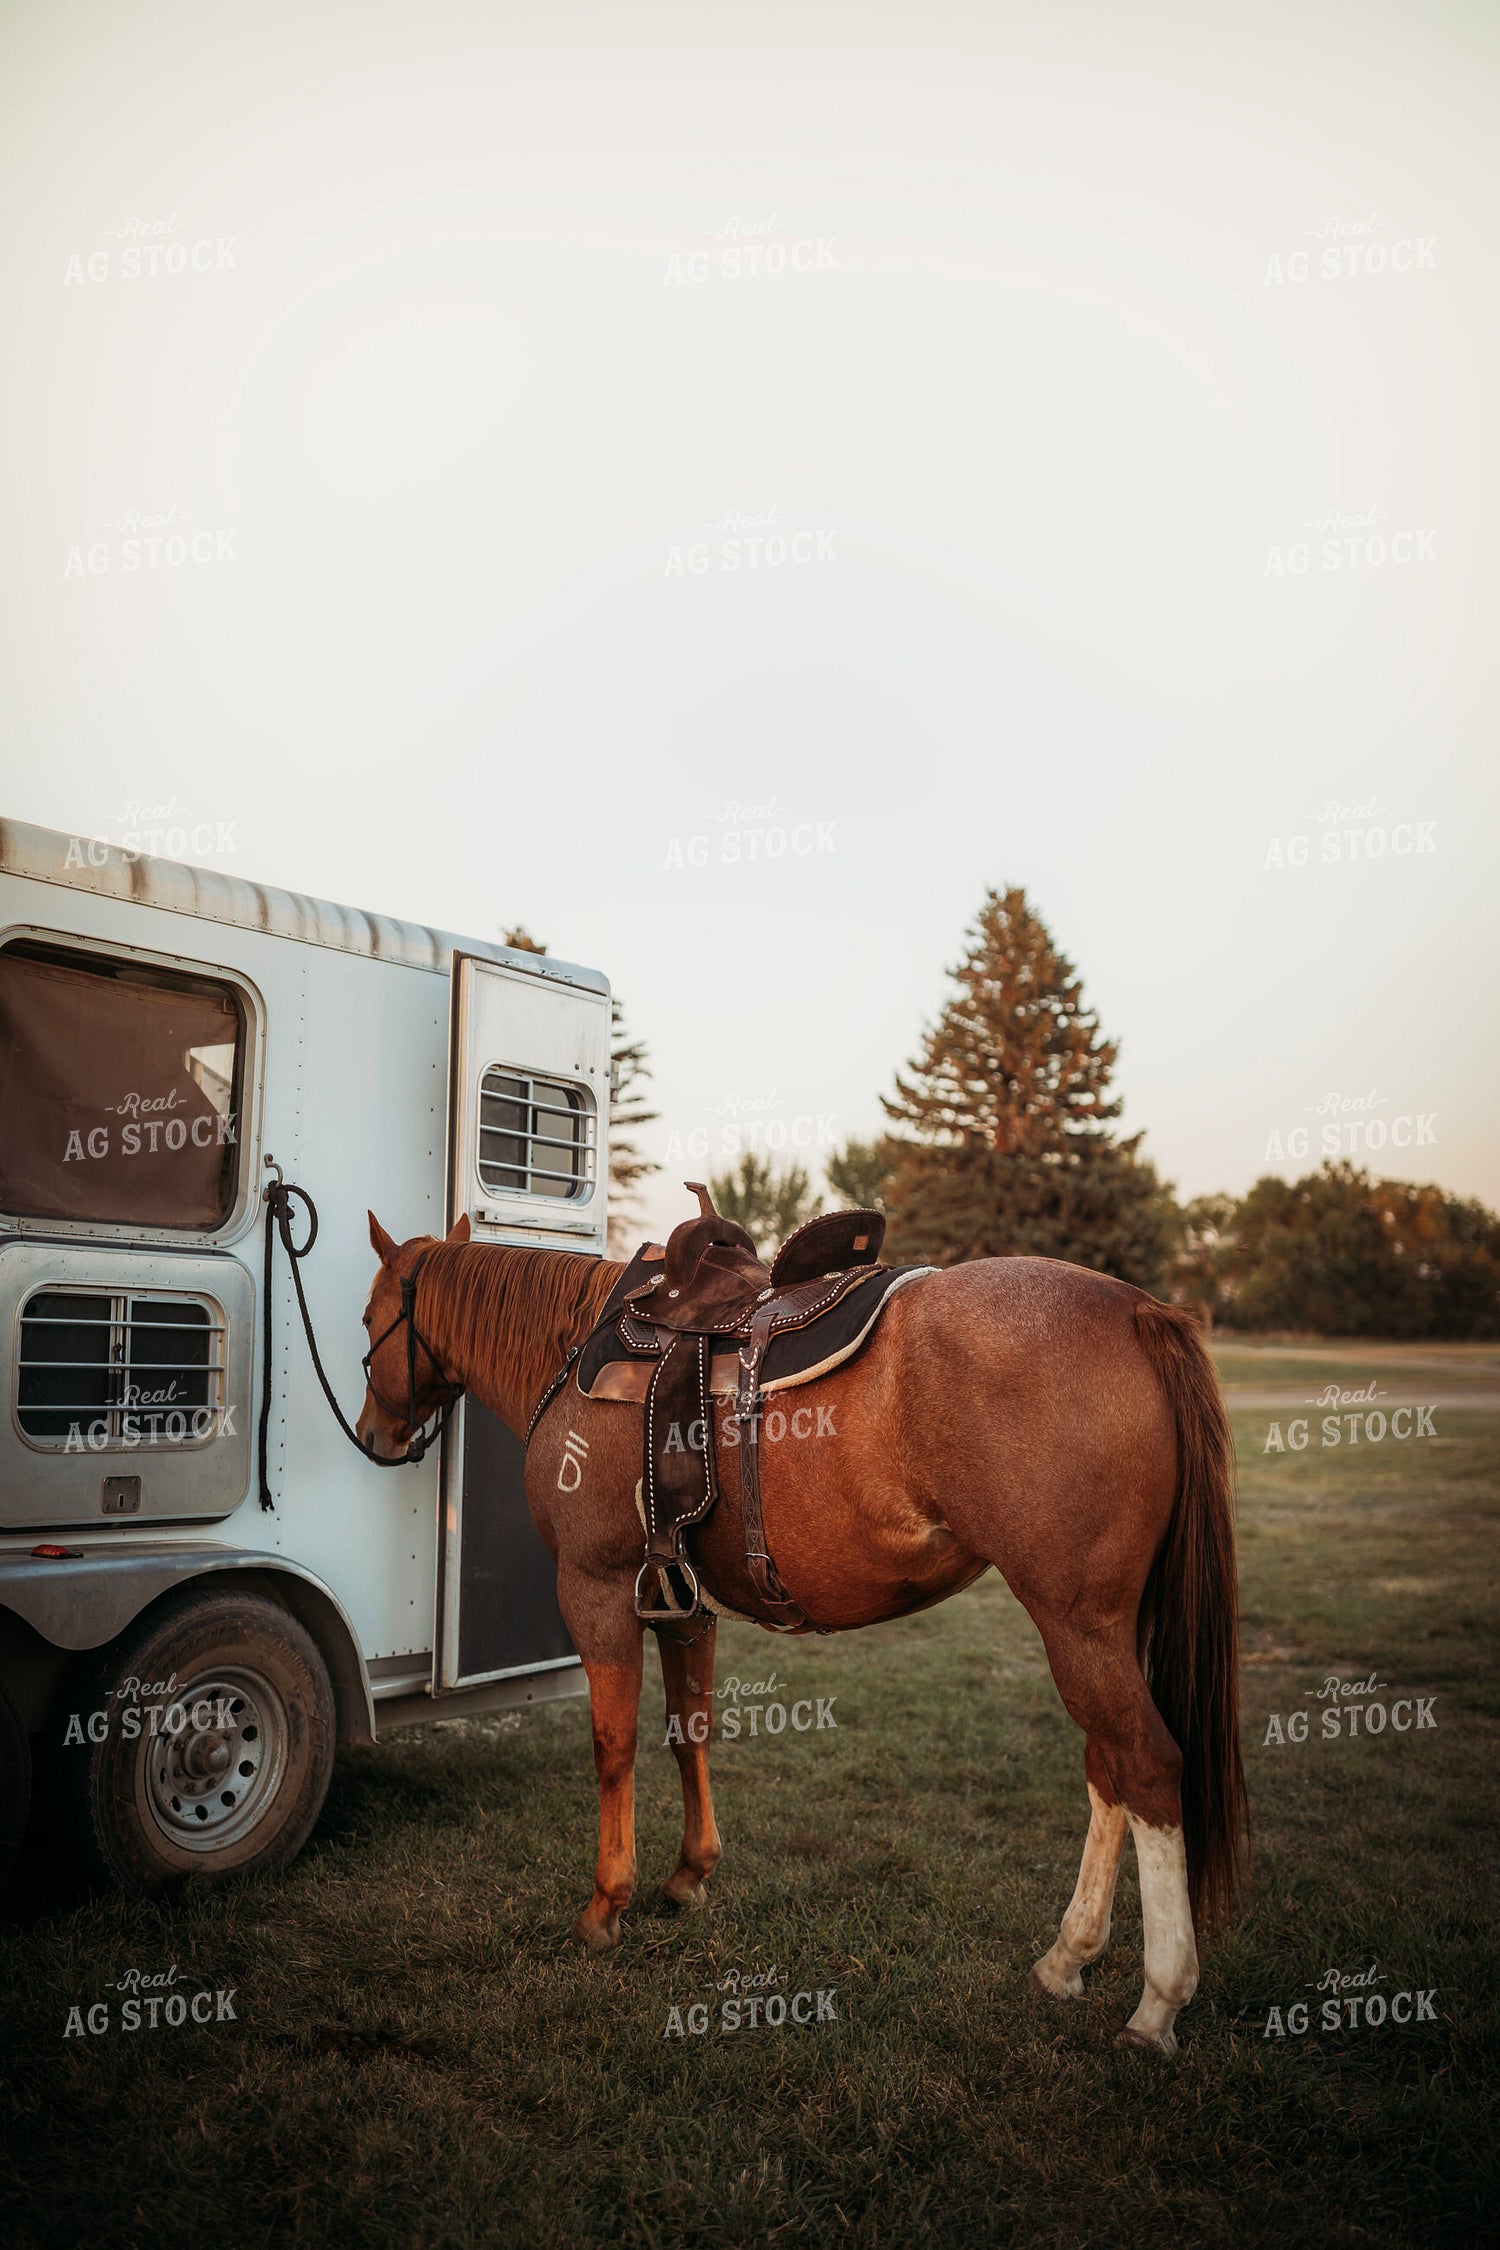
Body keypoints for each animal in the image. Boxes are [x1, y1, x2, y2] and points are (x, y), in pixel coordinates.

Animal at [355, 1208, 1247, 2057]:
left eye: (369, 1320)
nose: (371, 1434)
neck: (576, 1349)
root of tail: (1138, 1309)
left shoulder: (595, 1586)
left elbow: (614, 1746)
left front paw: (607, 1904)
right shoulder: (683, 1601)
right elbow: (690, 1730)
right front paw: (689, 1876)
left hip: (1076, 1622)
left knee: (1145, 1765)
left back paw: (1157, 2002)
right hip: (1102, 1627)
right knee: (1109, 1771)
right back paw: (1067, 1958)